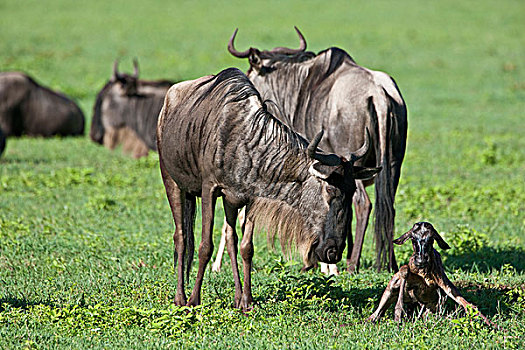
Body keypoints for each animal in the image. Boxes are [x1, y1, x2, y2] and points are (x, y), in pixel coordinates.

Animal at [366, 221, 498, 328]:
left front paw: (495, 326)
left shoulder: (444, 284)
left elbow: (467, 303)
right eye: (413, 239)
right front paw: (398, 316)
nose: (421, 260)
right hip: (389, 293)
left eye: (431, 239)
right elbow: (404, 270)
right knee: (376, 314)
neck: (424, 273)